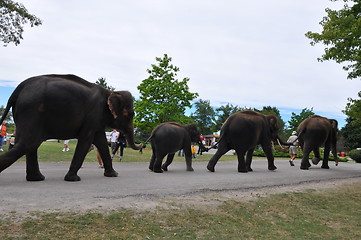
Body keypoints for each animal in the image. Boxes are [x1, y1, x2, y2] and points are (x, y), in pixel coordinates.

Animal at [0, 74, 143, 181]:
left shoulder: (96, 120)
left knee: (30, 144)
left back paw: (37, 178)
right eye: (129, 115)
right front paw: (73, 179)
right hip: (31, 111)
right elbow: (86, 140)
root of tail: (18, 90)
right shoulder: (93, 114)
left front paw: (113, 175)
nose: (142, 144)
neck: (111, 92)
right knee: (28, 143)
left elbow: (101, 142)